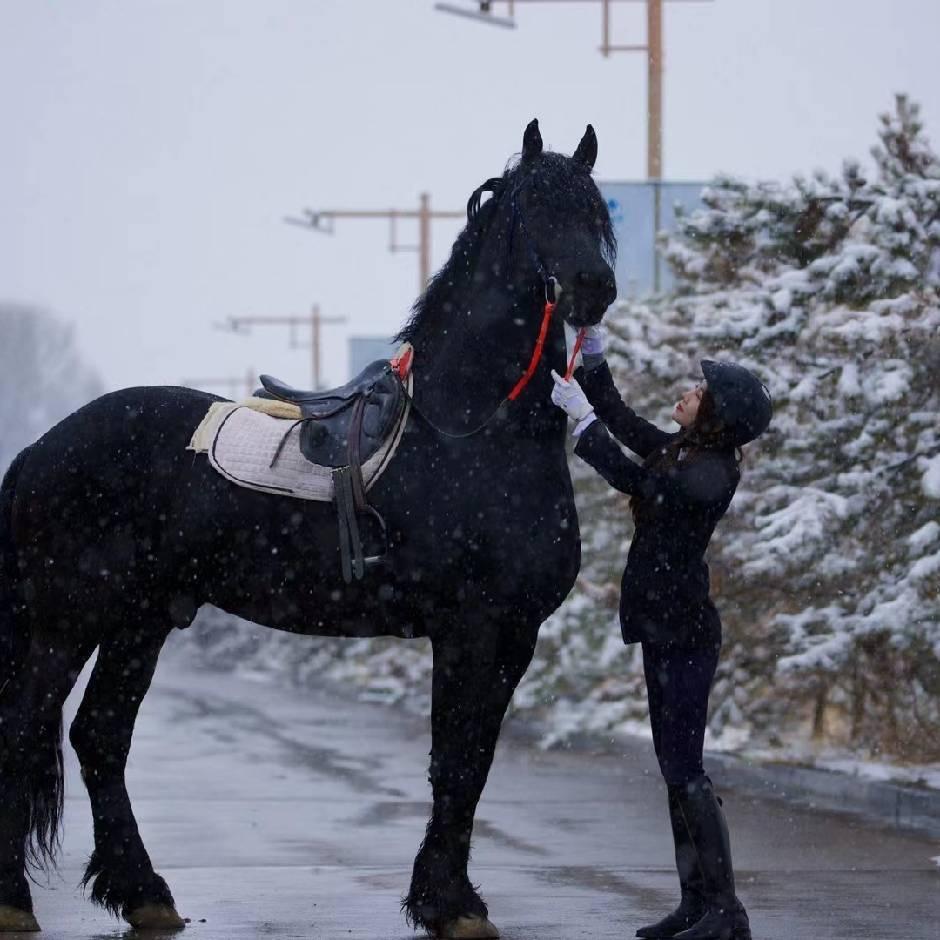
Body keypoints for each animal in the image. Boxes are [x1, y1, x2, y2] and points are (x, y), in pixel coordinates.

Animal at [0, 119, 616, 938]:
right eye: (535, 210)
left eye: (595, 212)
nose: (595, 288)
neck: (466, 433)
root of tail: (40, 449)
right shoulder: (471, 628)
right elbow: (454, 760)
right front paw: (451, 904)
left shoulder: (515, 634)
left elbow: (473, 762)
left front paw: (443, 897)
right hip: (67, 618)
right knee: (26, 726)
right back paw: (15, 901)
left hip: (140, 619)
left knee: (99, 734)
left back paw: (144, 892)